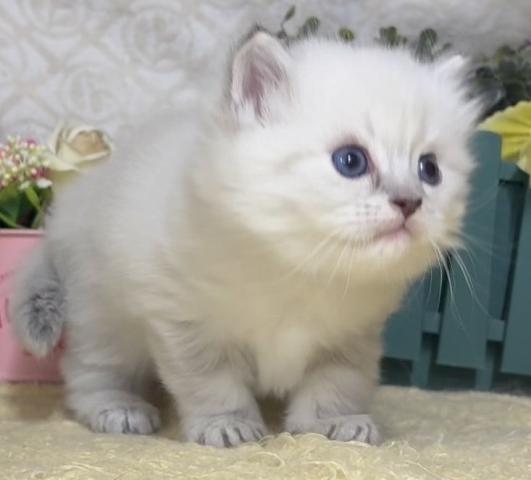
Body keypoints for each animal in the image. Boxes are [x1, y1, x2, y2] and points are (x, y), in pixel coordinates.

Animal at [11, 30, 479, 447]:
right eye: (351, 161)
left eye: (429, 169)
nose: (410, 202)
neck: (299, 268)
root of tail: (67, 210)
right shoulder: (185, 324)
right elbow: (212, 384)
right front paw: (226, 426)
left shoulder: (351, 337)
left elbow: (335, 384)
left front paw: (336, 424)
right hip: (106, 320)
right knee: (88, 371)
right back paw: (119, 410)